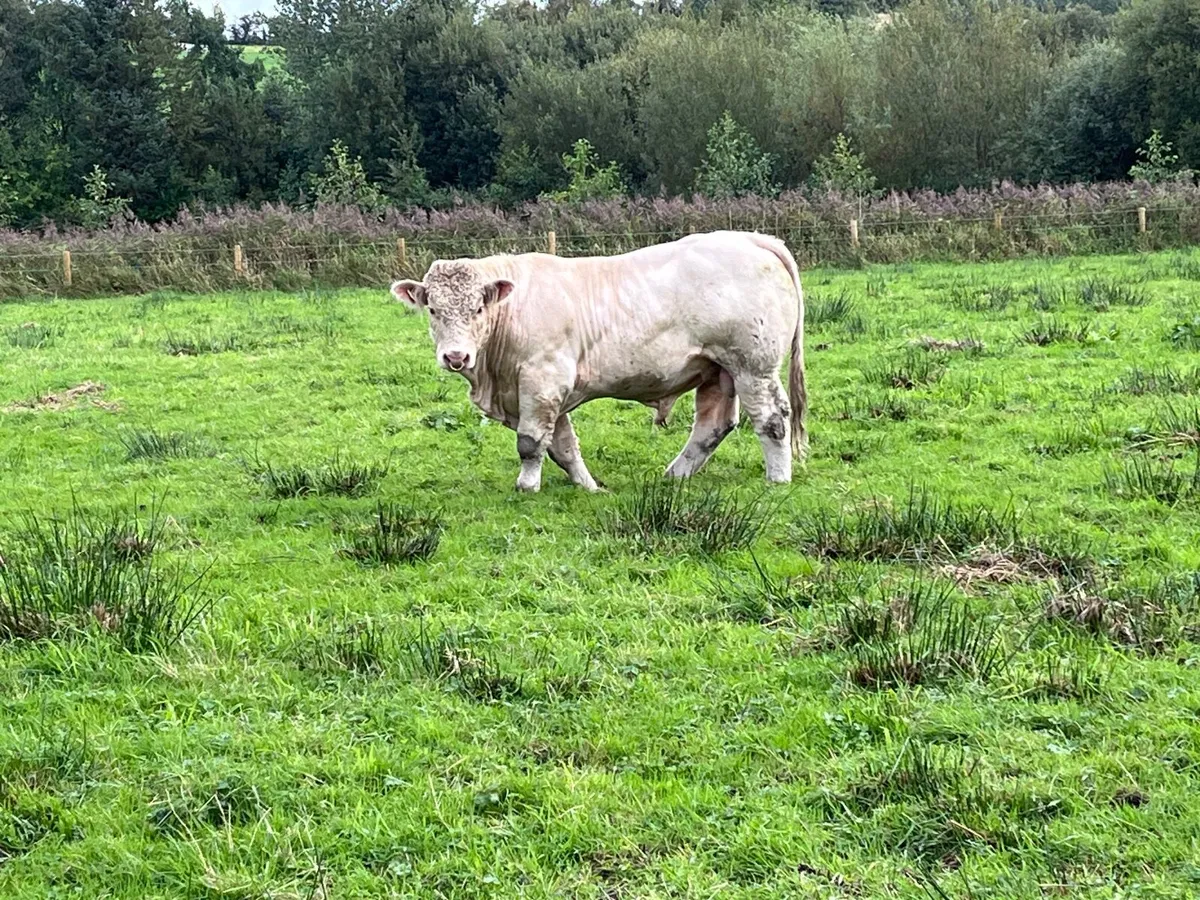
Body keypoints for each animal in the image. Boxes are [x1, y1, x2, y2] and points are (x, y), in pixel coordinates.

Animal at [390, 231, 807, 492]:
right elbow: (562, 445)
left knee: (772, 419)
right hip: (717, 370)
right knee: (713, 426)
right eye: (432, 309)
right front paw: (588, 486)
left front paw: (527, 486)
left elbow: (531, 442)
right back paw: (674, 476)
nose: (455, 356)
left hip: (753, 365)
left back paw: (777, 478)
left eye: (477, 308)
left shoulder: (543, 380)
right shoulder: (547, 390)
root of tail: (752, 238)